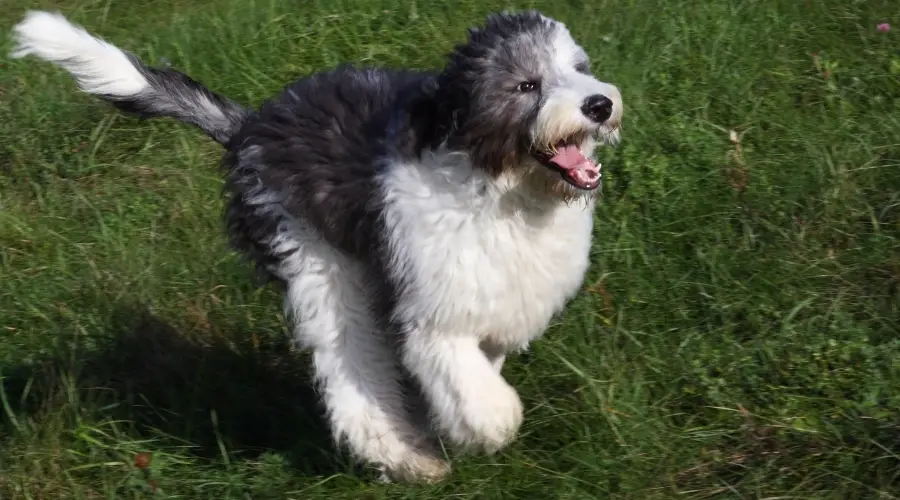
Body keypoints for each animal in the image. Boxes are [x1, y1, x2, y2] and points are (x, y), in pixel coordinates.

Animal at [10, 8, 624, 484]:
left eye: (578, 69)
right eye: (526, 85)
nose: (599, 104)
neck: (499, 187)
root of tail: (250, 129)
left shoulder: (492, 300)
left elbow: (475, 367)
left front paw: (450, 422)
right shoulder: (433, 312)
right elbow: (469, 384)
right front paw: (487, 427)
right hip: (316, 263)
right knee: (350, 369)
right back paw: (404, 458)